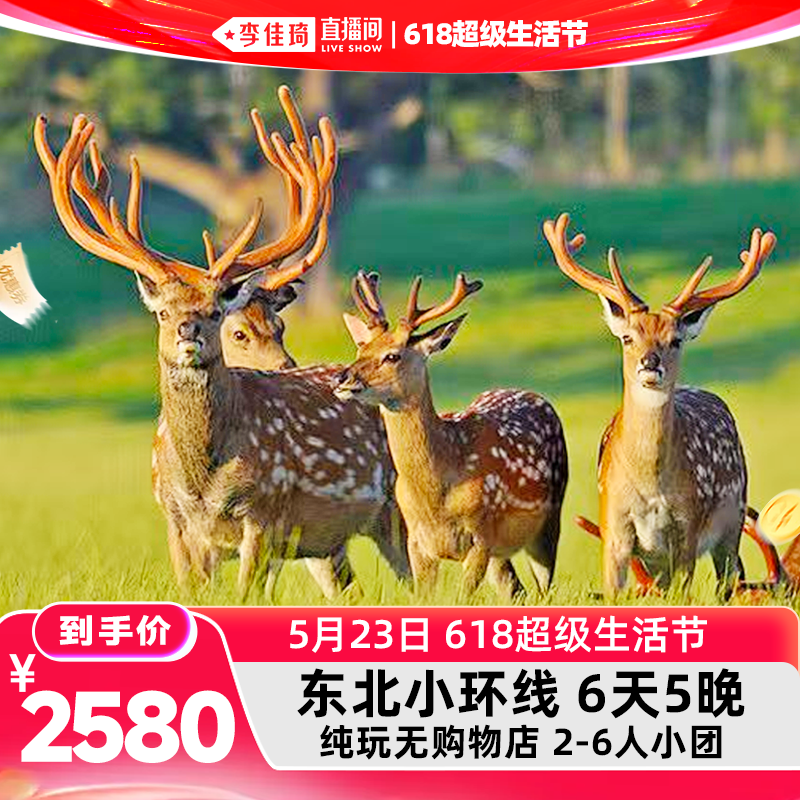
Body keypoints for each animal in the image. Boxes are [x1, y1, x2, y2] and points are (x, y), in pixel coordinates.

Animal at [34, 86, 408, 601]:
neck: (203, 482)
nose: (187, 330)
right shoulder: (177, 525)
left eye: (215, 311)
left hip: (401, 507)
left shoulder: (263, 516)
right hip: (325, 547)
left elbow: (248, 593)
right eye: (164, 312)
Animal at [334, 271, 568, 600]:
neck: (436, 497)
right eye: (360, 348)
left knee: (544, 587)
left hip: (549, 520)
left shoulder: (481, 535)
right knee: (516, 590)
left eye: (392, 356)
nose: (342, 377)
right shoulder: (417, 542)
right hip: (502, 553)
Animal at [543, 212, 776, 598]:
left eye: (676, 340)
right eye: (627, 337)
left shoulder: (686, 529)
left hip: (732, 523)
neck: (649, 485)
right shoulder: (614, 528)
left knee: (728, 583)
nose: (649, 364)